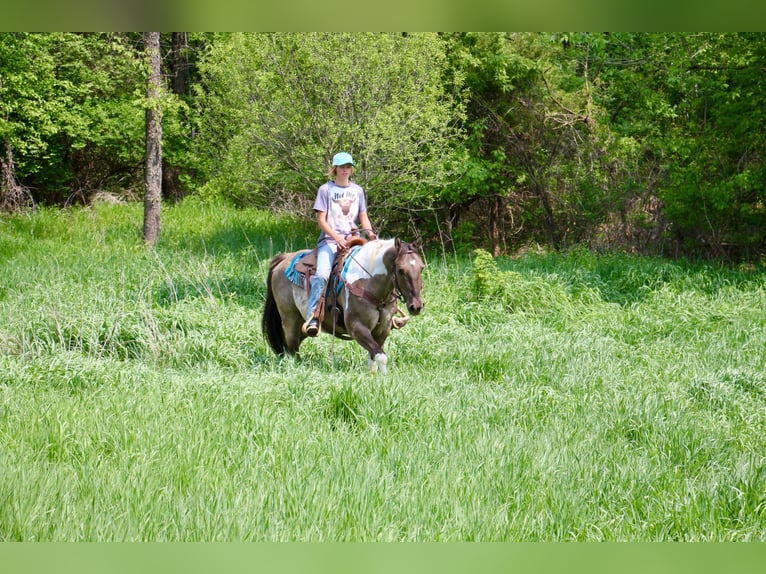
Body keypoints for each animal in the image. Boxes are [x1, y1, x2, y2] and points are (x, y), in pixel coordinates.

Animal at [260, 237, 424, 376]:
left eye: (421, 267)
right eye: (401, 270)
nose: (416, 306)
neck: (368, 283)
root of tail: (284, 259)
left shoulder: (383, 329)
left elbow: (374, 356)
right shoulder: (356, 327)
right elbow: (380, 356)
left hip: (301, 324)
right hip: (290, 319)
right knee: (292, 349)